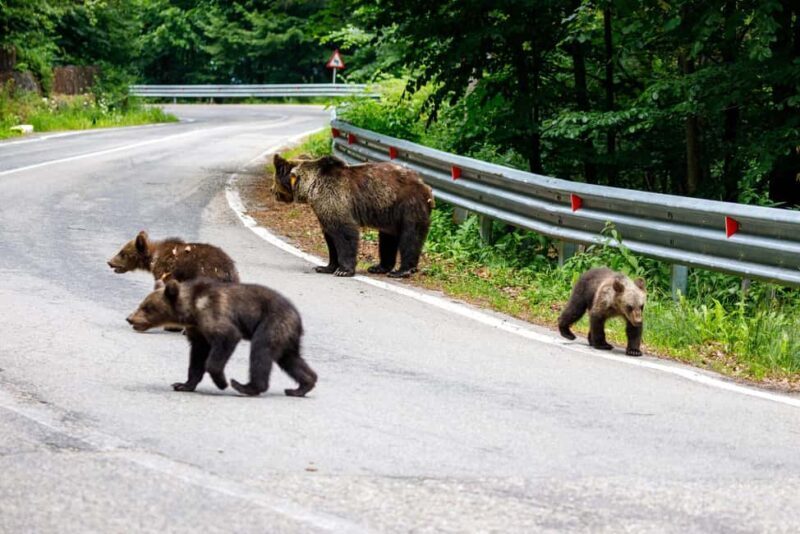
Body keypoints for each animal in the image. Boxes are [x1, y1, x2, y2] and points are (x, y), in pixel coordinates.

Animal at [126, 278, 317, 397]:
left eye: (147, 307)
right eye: (141, 304)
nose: (130, 318)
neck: (192, 310)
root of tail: (297, 316)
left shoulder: (214, 315)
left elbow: (225, 340)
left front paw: (221, 382)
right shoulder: (198, 331)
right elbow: (197, 356)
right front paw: (183, 384)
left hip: (271, 323)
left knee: (261, 350)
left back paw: (245, 386)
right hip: (285, 335)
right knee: (290, 359)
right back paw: (301, 386)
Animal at [273, 154, 434, 278]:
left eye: (275, 181)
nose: (272, 191)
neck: (311, 187)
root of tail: (426, 186)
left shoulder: (334, 198)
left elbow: (345, 233)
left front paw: (344, 270)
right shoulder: (324, 210)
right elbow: (330, 238)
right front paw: (325, 267)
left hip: (408, 205)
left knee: (410, 237)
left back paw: (402, 270)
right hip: (389, 212)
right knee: (387, 238)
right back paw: (379, 267)